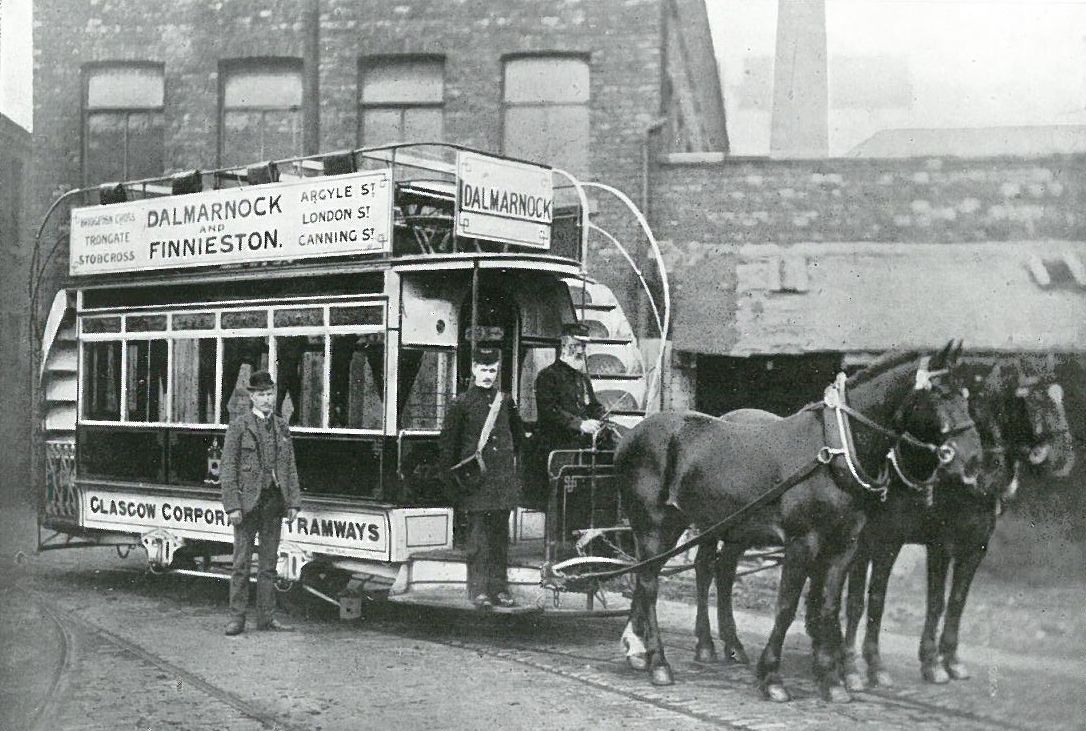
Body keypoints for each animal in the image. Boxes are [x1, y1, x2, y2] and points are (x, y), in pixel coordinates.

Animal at [616, 345, 981, 703]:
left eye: (966, 395)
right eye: (940, 392)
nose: (974, 459)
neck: (835, 452)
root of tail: (631, 435)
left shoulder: (845, 546)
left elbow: (829, 606)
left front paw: (832, 681)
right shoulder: (803, 542)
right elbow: (787, 606)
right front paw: (772, 678)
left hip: (692, 525)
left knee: (662, 575)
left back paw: (642, 649)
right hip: (654, 525)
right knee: (650, 583)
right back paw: (658, 663)